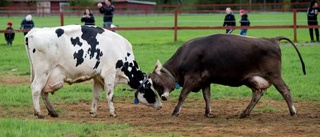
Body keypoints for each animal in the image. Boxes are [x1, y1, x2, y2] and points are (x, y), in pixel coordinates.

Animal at [24, 24, 162, 119]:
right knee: (36, 89)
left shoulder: (97, 77)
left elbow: (96, 95)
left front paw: (93, 112)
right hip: (43, 72)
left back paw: (52, 112)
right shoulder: (109, 75)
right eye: (151, 90)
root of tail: (33, 32)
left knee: (43, 92)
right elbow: (110, 95)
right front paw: (113, 113)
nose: (160, 105)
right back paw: (39, 113)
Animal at [149, 34, 304, 117]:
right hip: (252, 79)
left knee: (285, 90)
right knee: (257, 93)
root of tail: (272, 39)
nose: (163, 97)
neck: (185, 55)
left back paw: (293, 112)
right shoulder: (205, 81)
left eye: (156, 82)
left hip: (274, 75)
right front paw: (208, 112)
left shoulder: (192, 78)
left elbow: (183, 95)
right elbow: (207, 97)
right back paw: (244, 113)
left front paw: (175, 112)